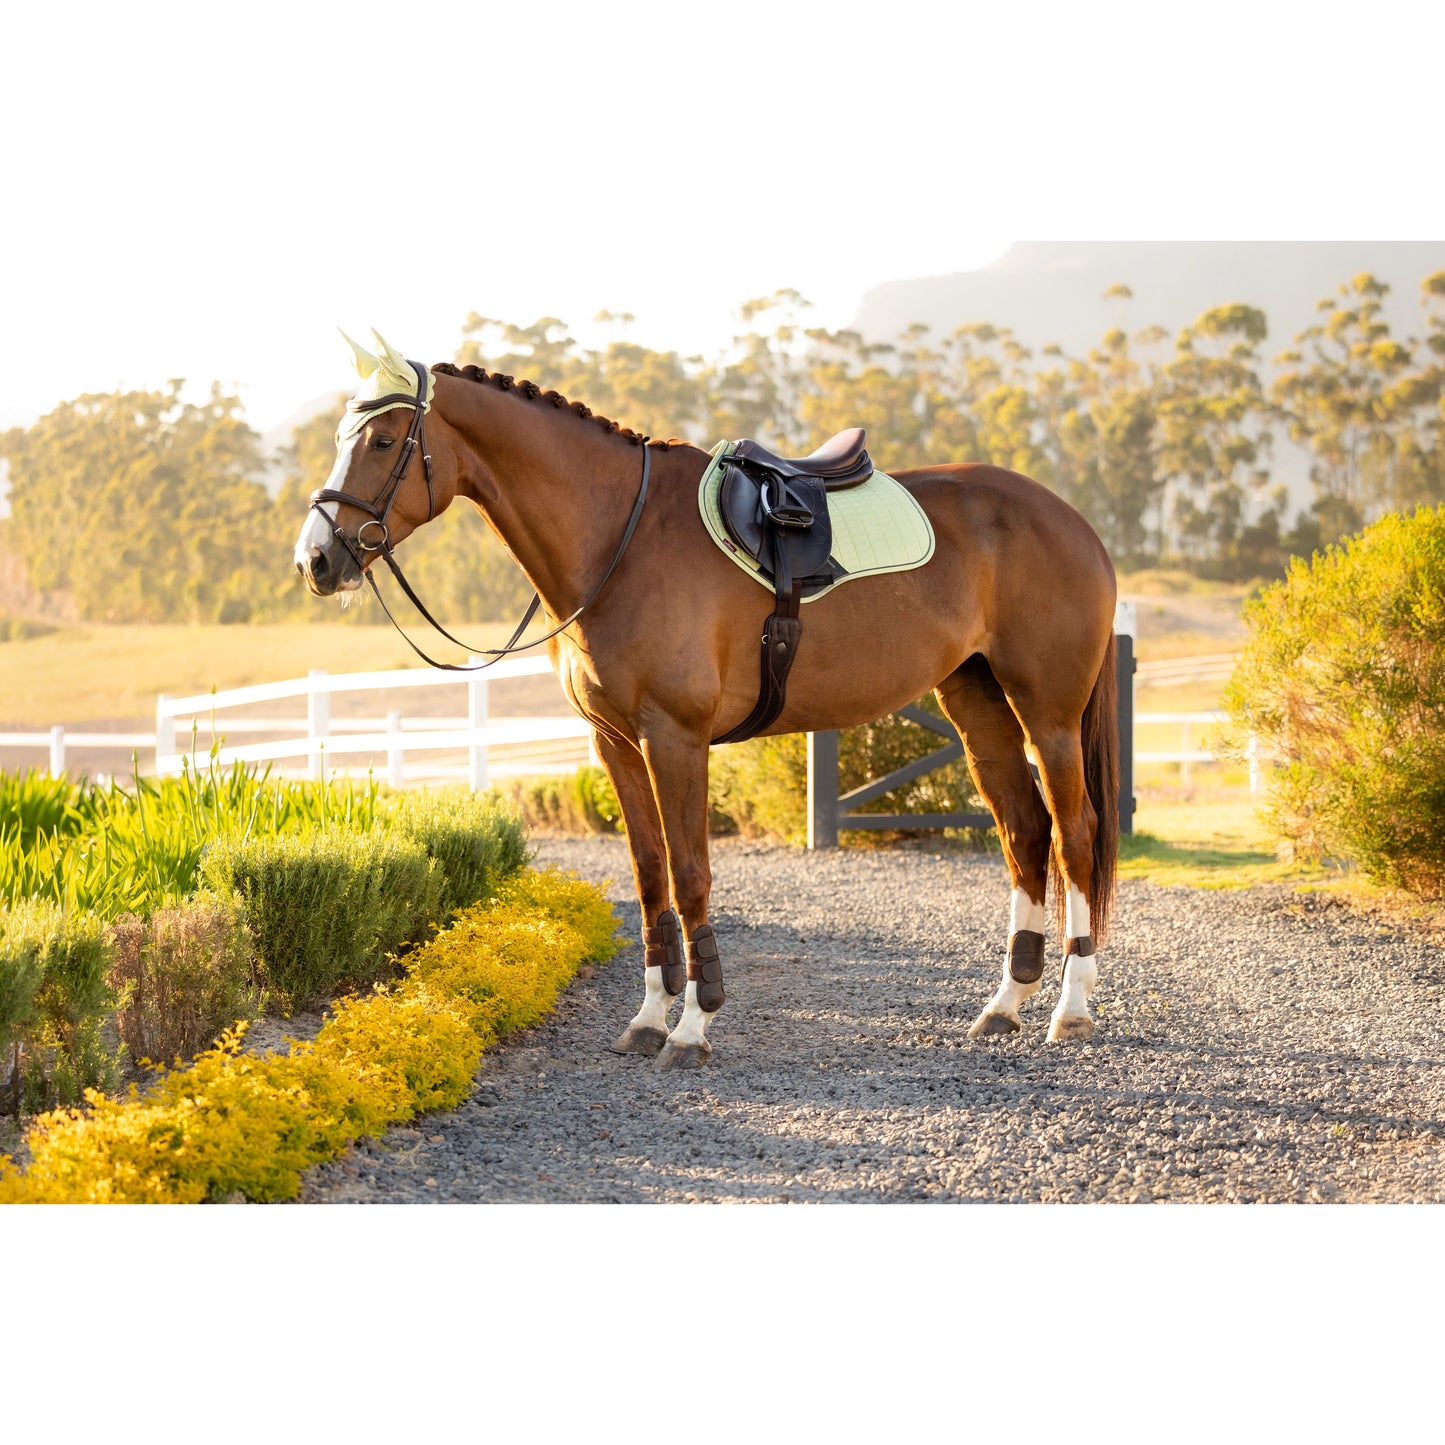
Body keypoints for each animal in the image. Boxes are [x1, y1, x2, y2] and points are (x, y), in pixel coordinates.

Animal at [295, 331, 1120, 1070]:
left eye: (384, 439)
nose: (316, 560)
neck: (618, 540)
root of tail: (1072, 519)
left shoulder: (675, 737)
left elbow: (691, 874)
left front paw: (693, 1026)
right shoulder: (614, 742)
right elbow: (649, 871)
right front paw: (646, 1019)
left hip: (1047, 713)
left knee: (1074, 834)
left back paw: (1070, 1009)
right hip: (975, 701)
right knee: (1024, 831)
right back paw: (1004, 1005)